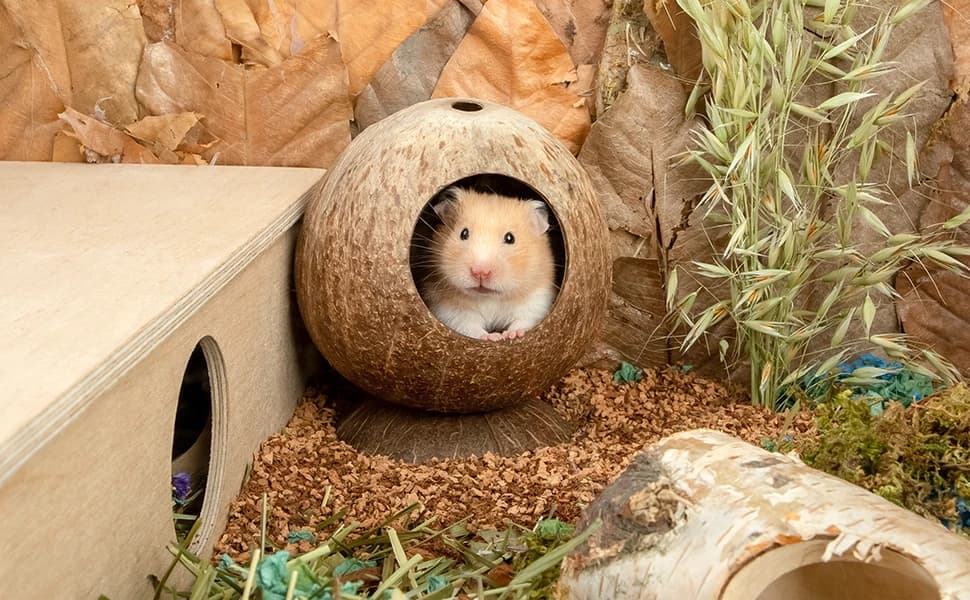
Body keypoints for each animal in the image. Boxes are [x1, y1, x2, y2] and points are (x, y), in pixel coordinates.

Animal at [420, 186, 557, 341]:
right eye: (464, 233)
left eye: (510, 238)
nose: (480, 272)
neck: (489, 297)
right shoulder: (448, 309)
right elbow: (468, 325)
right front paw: (493, 337)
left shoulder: (537, 299)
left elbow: (524, 319)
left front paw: (511, 334)